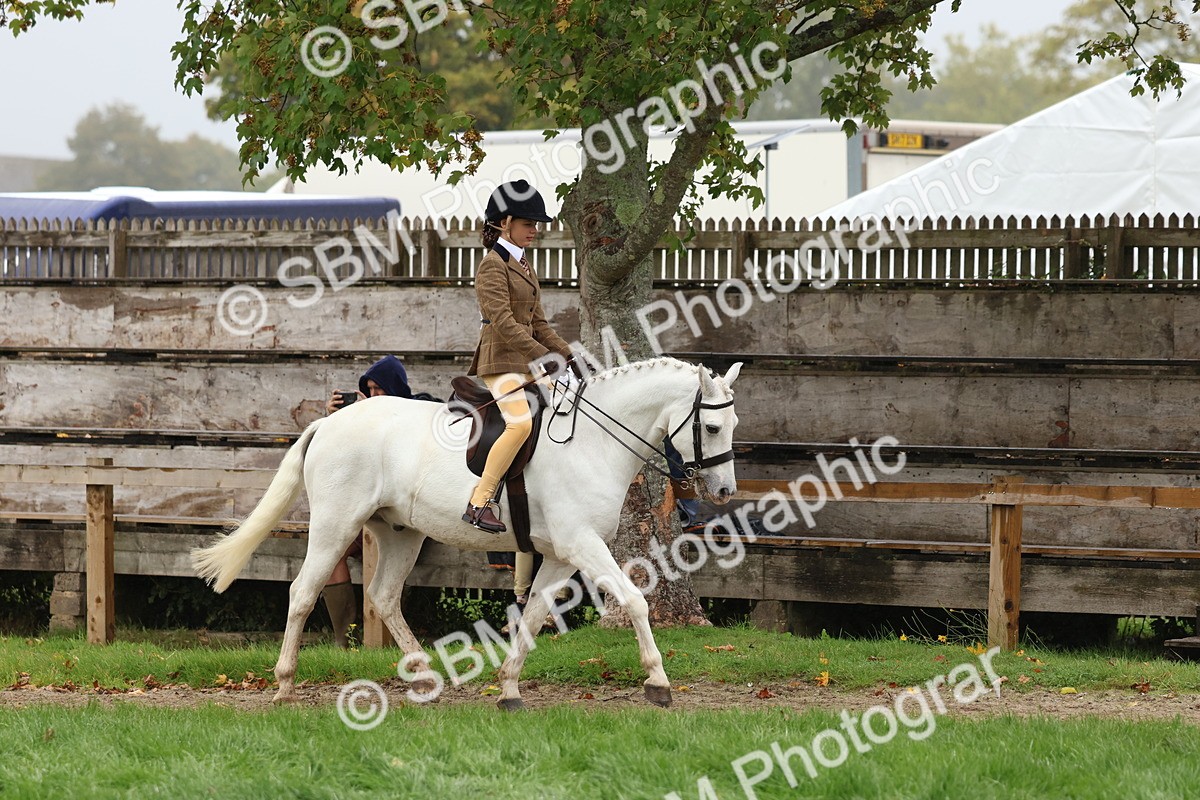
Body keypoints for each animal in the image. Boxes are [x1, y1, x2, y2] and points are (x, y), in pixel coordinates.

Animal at [191, 356, 742, 709]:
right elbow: (635, 601)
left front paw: (510, 689)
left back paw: (424, 677)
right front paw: (659, 682)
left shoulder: (560, 555)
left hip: (400, 532)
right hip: (335, 524)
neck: (592, 440)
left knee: (383, 595)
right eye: (713, 428)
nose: (723, 491)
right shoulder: (582, 544)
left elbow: (534, 615)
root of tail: (328, 423)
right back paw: (285, 685)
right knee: (304, 592)